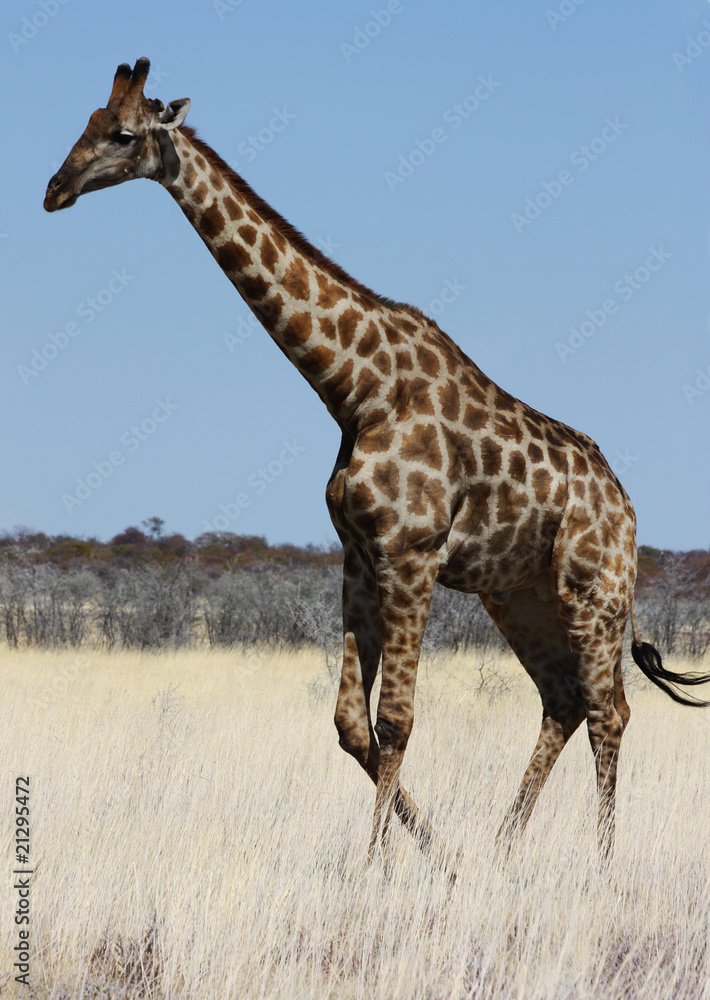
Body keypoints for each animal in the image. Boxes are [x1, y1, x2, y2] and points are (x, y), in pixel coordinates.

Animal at [45, 58, 710, 868]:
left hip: (593, 588)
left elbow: (396, 719)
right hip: (518, 593)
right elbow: (349, 726)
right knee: (564, 699)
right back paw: (500, 847)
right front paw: (441, 858)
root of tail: (628, 508)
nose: (54, 189)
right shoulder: (359, 558)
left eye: (124, 134)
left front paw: (373, 869)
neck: (353, 389)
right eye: (84, 121)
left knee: (610, 708)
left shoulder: (410, 554)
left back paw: (603, 863)